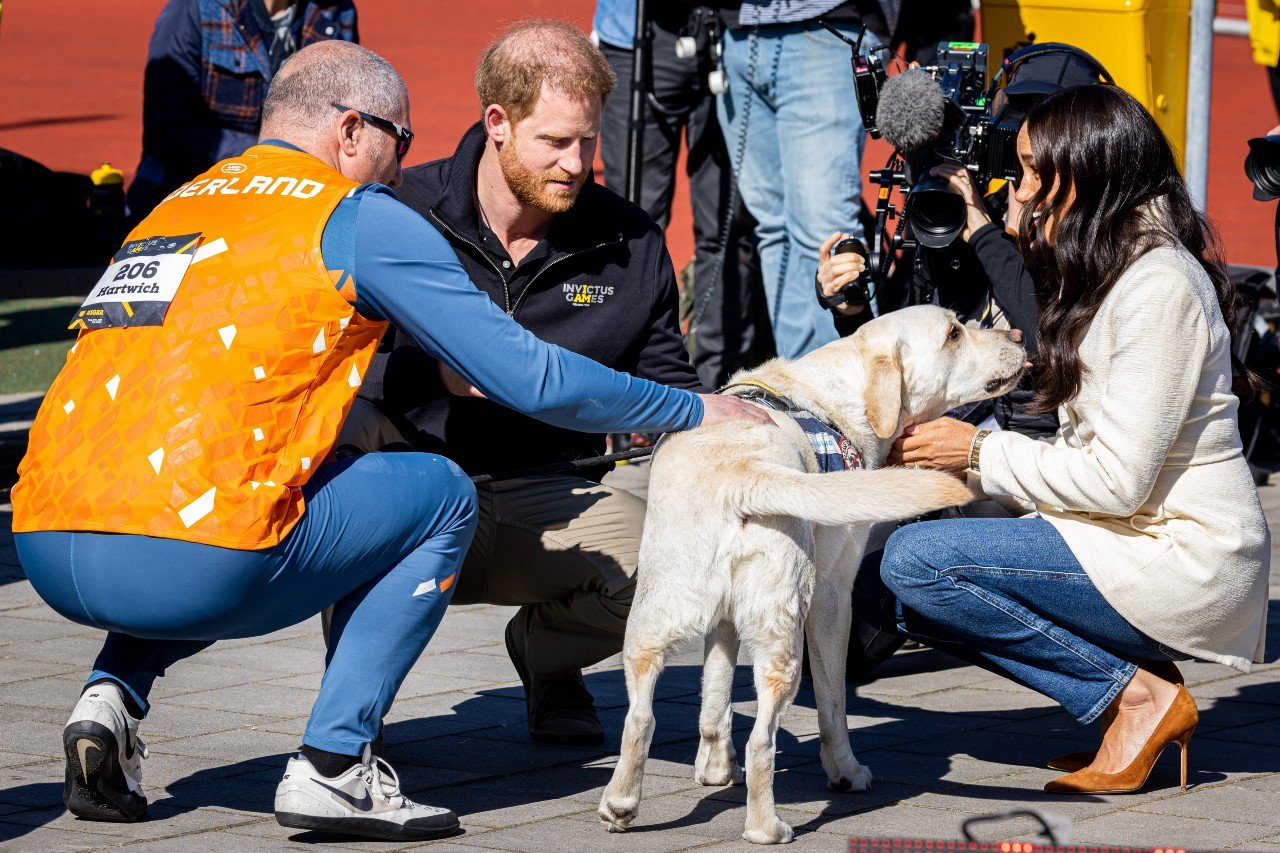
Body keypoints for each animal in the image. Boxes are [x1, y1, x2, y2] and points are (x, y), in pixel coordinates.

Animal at [599, 302, 1029, 840]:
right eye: (953, 333)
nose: (1018, 336)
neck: (842, 392)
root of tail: (742, 473)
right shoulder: (833, 597)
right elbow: (833, 705)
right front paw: (845, 772)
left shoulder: (725, 619)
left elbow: (715, 692)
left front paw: (715, 769)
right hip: (785, 629)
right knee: (763, 739)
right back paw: (766, 827)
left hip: (651, 621)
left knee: (638, 720)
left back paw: (620, 804)